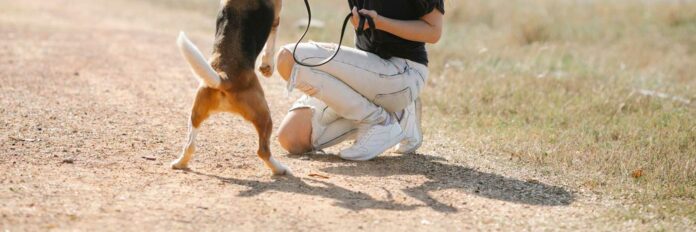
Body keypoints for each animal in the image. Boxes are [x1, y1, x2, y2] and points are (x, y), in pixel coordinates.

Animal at [171, 0, 288, 175]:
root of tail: (224, 77)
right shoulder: (277, 14)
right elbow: (272, 40)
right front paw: (268, 65)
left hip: (196, 113)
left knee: (189, 146)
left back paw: (180, 163)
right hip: (265, 115)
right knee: (263, 151)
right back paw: (280, 169)